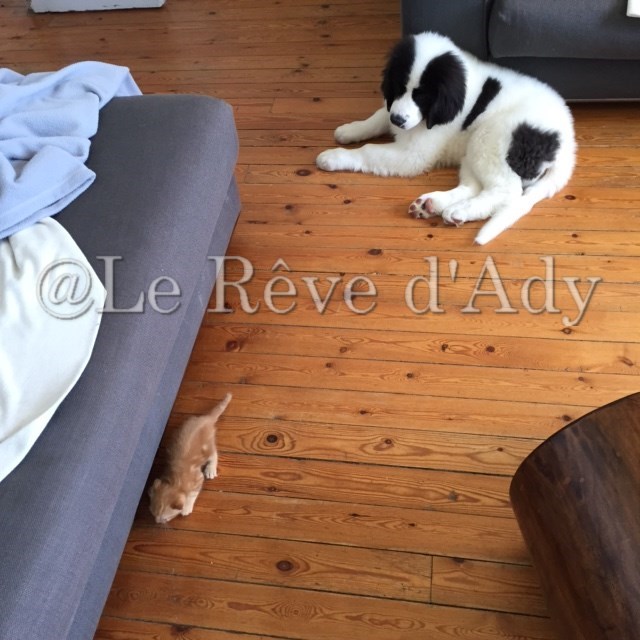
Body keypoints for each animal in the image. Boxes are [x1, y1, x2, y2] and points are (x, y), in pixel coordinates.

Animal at [148, 393, 232, 524]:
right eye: (153, 514)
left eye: (165, 518)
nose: (157, 522)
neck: (175, 480)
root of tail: (206, 419)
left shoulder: (197, 478)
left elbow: (192, 494)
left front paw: (186, 507)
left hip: (208, 446)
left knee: (214, 454)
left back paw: (211, 469)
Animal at [316, 32, 576, 244]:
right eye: (399, 86)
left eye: (422, 96)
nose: (398, 120)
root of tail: (568, 146)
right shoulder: (393, 112)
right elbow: (378, 117)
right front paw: (349, 130)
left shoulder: (413, 155)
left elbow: (369, 150)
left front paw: (333, 157)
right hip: (474, 151)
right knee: (473, 185)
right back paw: (434, 205)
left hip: (490, 138)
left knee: (506, 192)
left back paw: (459, 211)